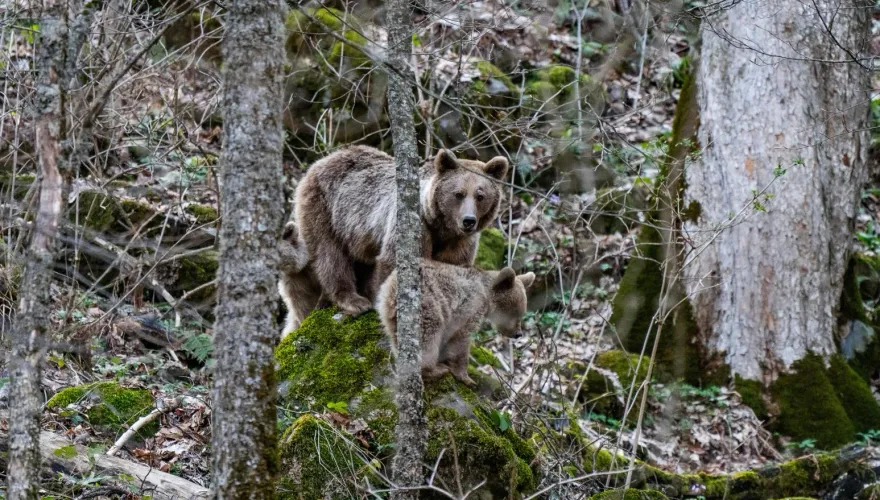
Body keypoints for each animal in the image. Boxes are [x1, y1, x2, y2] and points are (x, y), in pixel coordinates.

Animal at [294, 145, 509, 317]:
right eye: (458, 194)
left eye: (480, 195)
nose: (468, 221)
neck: (441, 227)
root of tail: (321, 161)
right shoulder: (414, 226)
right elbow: (393, 263)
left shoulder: (460, 243)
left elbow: (455, 270)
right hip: (325, 209)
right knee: (330, 254)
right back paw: (354, 300)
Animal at [377, 259, 535, 385]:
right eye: (515, 312)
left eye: (522, 313)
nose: (518, 334)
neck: (486, 296)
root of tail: (392, 289)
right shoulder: (469, 309)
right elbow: (460, 341)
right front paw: (467, 378)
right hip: (428, 304)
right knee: (428, 335)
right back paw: (435, 370)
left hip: (388, 313)